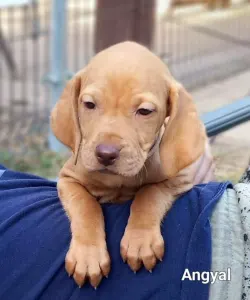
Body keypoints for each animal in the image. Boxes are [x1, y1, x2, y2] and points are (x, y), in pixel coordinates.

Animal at [51, 41, 215, 290]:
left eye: (145, 111)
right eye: (89, 104)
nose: (106, 154)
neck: (119, 181)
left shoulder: (179, 179)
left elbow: (149, 194)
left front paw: (140, 240)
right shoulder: (68, 179)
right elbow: (86, 205)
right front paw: (88, 256)